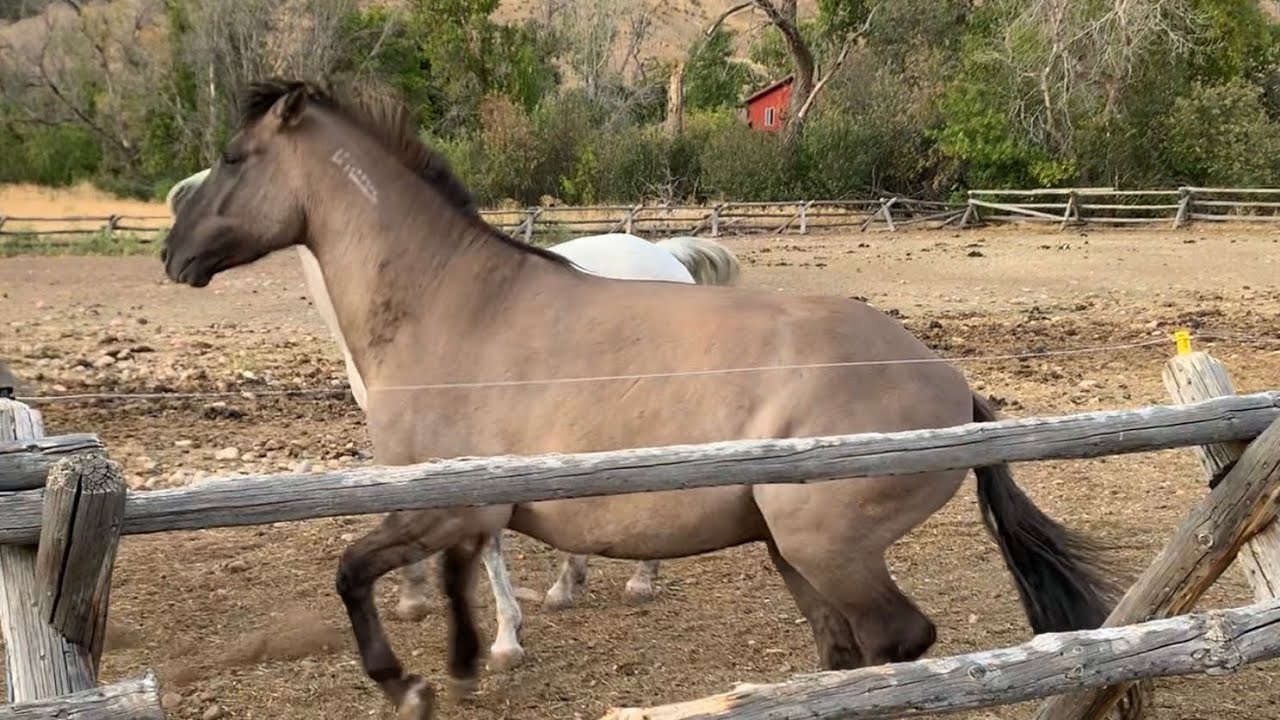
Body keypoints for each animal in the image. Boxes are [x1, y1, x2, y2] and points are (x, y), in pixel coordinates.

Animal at [165, 171, 743, 671]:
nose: (177, 254)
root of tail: (665, 254)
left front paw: (506, 636)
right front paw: (414, 599)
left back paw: (638, 580)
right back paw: (568, 584)